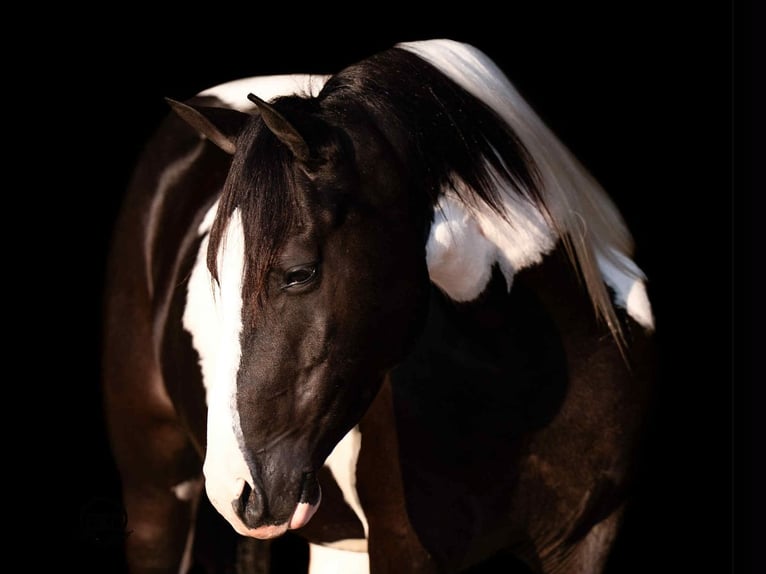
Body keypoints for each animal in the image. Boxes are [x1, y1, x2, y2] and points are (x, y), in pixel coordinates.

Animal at [101, 38, 656, 574]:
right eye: (216, 270)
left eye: (299, 273)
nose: (233, 489)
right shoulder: (402, 547)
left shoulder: (587, 542)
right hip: (157, 501)